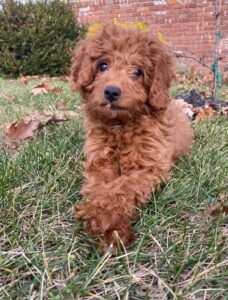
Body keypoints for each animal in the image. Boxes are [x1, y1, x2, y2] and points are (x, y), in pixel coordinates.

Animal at [71, 24, 192, 252]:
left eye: (137, 72)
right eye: (103, 66)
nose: (111, 92)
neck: (121, 125)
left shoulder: (149, 167)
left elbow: (122, 187)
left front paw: (108, 222)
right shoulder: (98, 160)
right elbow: (98, 187)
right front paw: (102, 221)